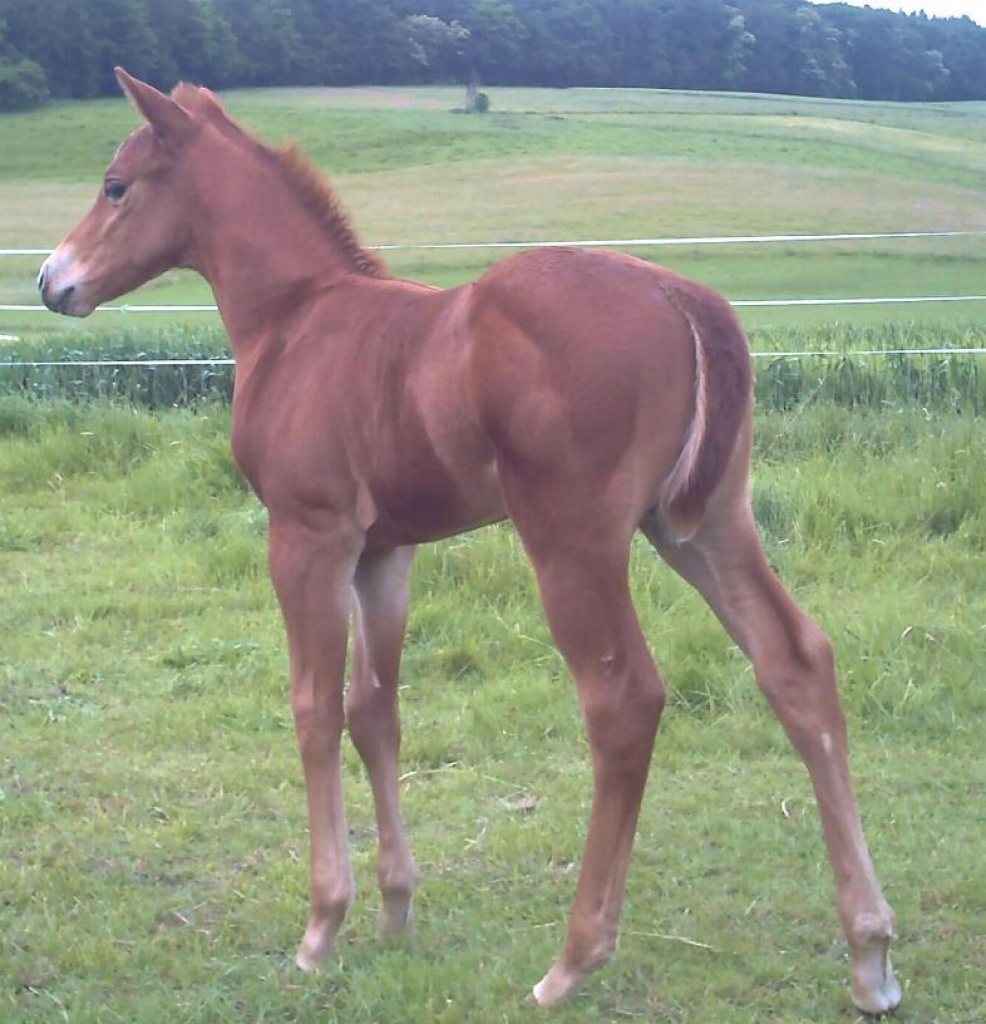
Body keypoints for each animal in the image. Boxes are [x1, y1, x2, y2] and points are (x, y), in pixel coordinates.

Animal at [38, 68, 901, 1014]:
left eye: (116, 186)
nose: (50, 281)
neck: (297, 321)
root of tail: (685, 298)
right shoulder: (384, 552)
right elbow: (374, 709)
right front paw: (394, 910)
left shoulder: (308, 536)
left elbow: (313, 707)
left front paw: (321, 926)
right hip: (707, 524)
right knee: (797, 662)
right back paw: (870, 954)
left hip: (573, 543)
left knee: (623, 700)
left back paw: (572, 960)